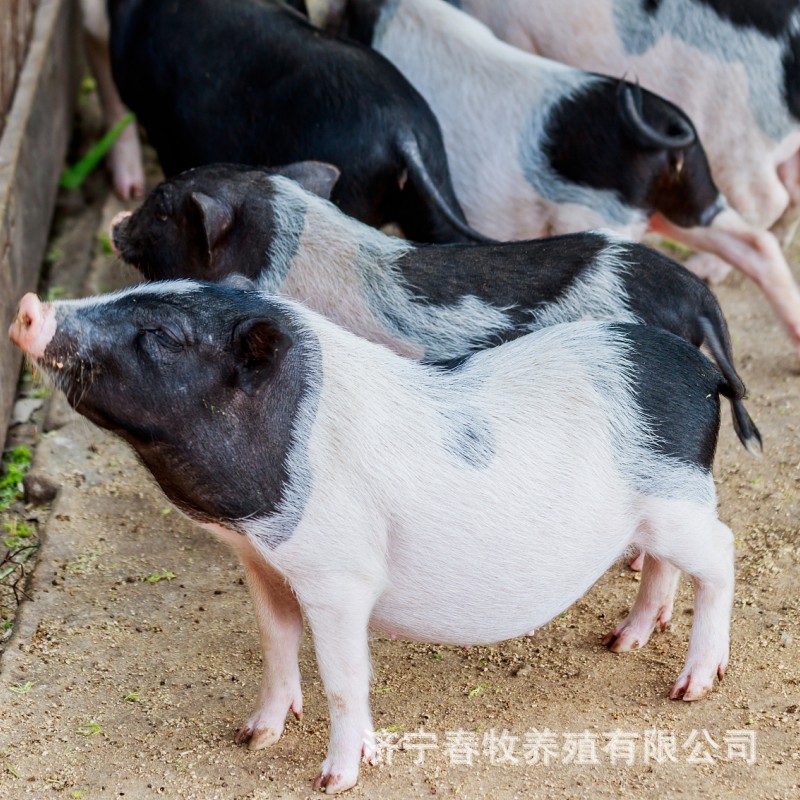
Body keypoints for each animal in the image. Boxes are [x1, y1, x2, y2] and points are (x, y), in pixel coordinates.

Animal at [10, 282, 736, 792]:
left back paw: (691, 688)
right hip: (659, 513)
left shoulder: (339, 576)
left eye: (162, 334)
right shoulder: (265, 564)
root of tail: (700, 372)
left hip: (678, 503)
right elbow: (275, 644)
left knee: (722, 553)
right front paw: (253, 737)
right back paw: (624, 641)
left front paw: (332, 780)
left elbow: (342, 675)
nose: (27, 306)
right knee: (665, 567)